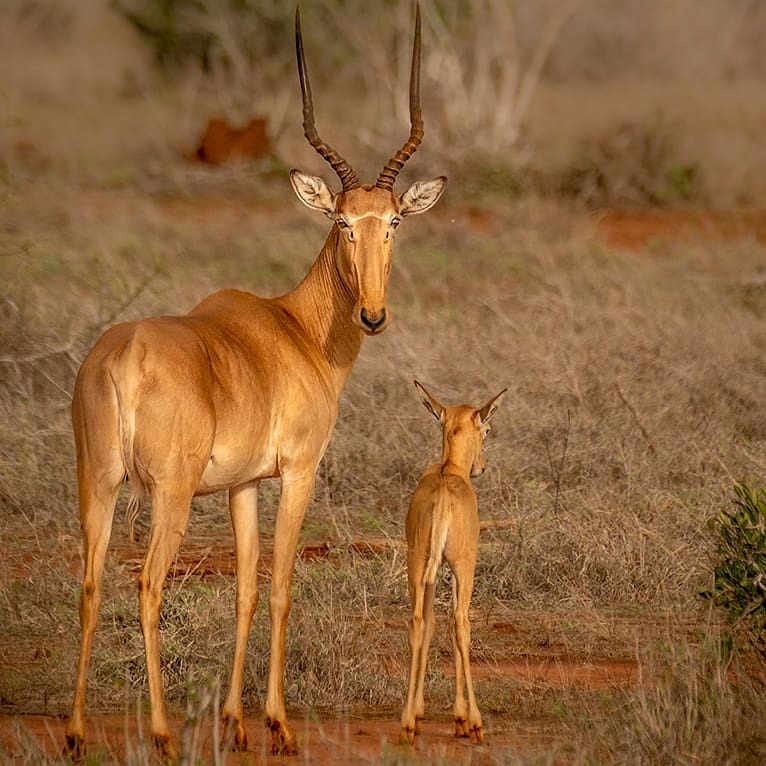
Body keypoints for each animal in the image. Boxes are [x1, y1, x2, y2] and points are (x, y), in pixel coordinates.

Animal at [67, 6, 450, 760]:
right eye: (342, 221)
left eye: (393, 220)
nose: (373, 314)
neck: (294, 329)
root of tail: (124, 355)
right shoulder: (297, 472)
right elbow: (279, 585)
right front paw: (277, 722)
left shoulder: (241, 486)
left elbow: (244, 588)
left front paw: (237, 722)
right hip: (168, 496)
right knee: (147, 585)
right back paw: (161, 731)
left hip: (99, 482)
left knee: (93, 584)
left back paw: (74, 731)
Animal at [402, 380, 504, 748]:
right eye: (486, 428)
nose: (481, 467)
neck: (449, 470)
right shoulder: (462, 565)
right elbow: (455, 624)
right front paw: (461, 718)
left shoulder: (429, 571)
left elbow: (432, 622)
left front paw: (419, 712)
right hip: (462, 566)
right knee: (461, 623)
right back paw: (475, 723)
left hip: (418, 564)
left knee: (418, 622)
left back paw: (407, 722)